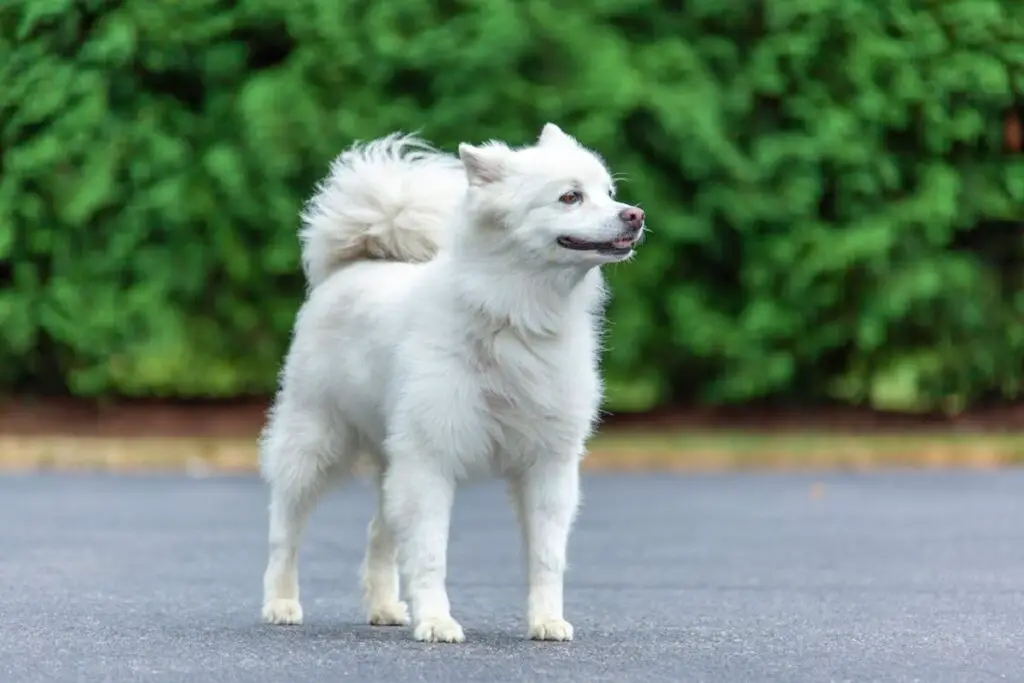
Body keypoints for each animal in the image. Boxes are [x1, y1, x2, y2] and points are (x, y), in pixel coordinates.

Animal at [262, 122, 647, 643]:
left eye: (609, 193)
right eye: (570, 197)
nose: (636, 215)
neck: (514, 316)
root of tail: (355, 265)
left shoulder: (548, 464)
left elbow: (547, 556)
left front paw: (546, 621)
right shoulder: (430, 459)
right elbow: (429, 554)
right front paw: (437, 622)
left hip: (391, 458)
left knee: (378, 533)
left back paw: (384, 607)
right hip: (315, 442)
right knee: (285, 529)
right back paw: (281, 603)